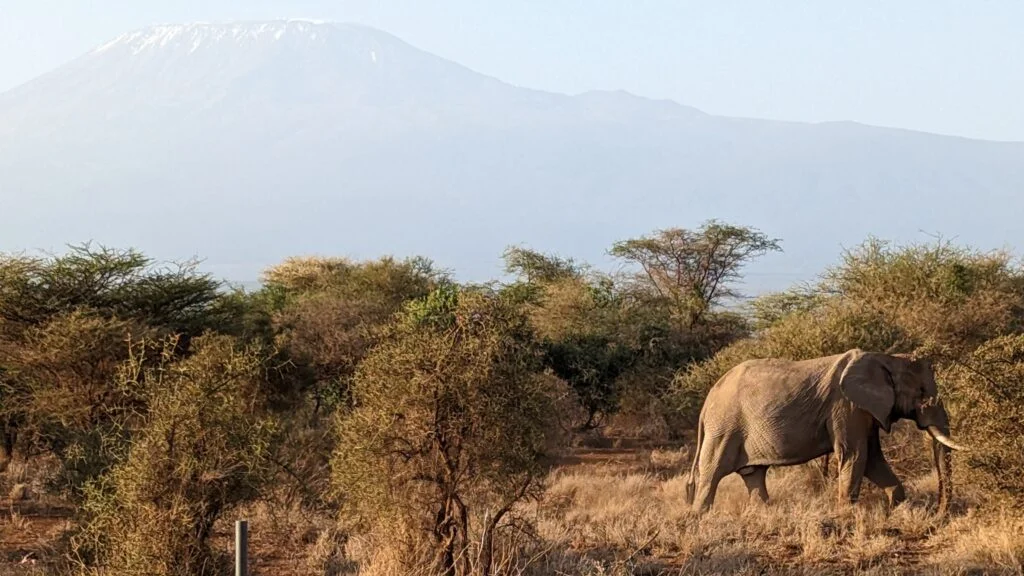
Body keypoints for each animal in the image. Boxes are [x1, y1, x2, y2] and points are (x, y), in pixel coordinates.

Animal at [684, 348, 962, 512]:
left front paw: (898, 508)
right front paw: (848, 516)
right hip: (724, 427)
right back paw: (699, 517)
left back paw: (763, 513)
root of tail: (707, 401)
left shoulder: (863, 410)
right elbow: (856, 455)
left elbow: (872, 458)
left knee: (753, 474)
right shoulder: (847, 407)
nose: (940, 512)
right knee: (712, 473)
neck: (886, 358)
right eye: (921, 393)